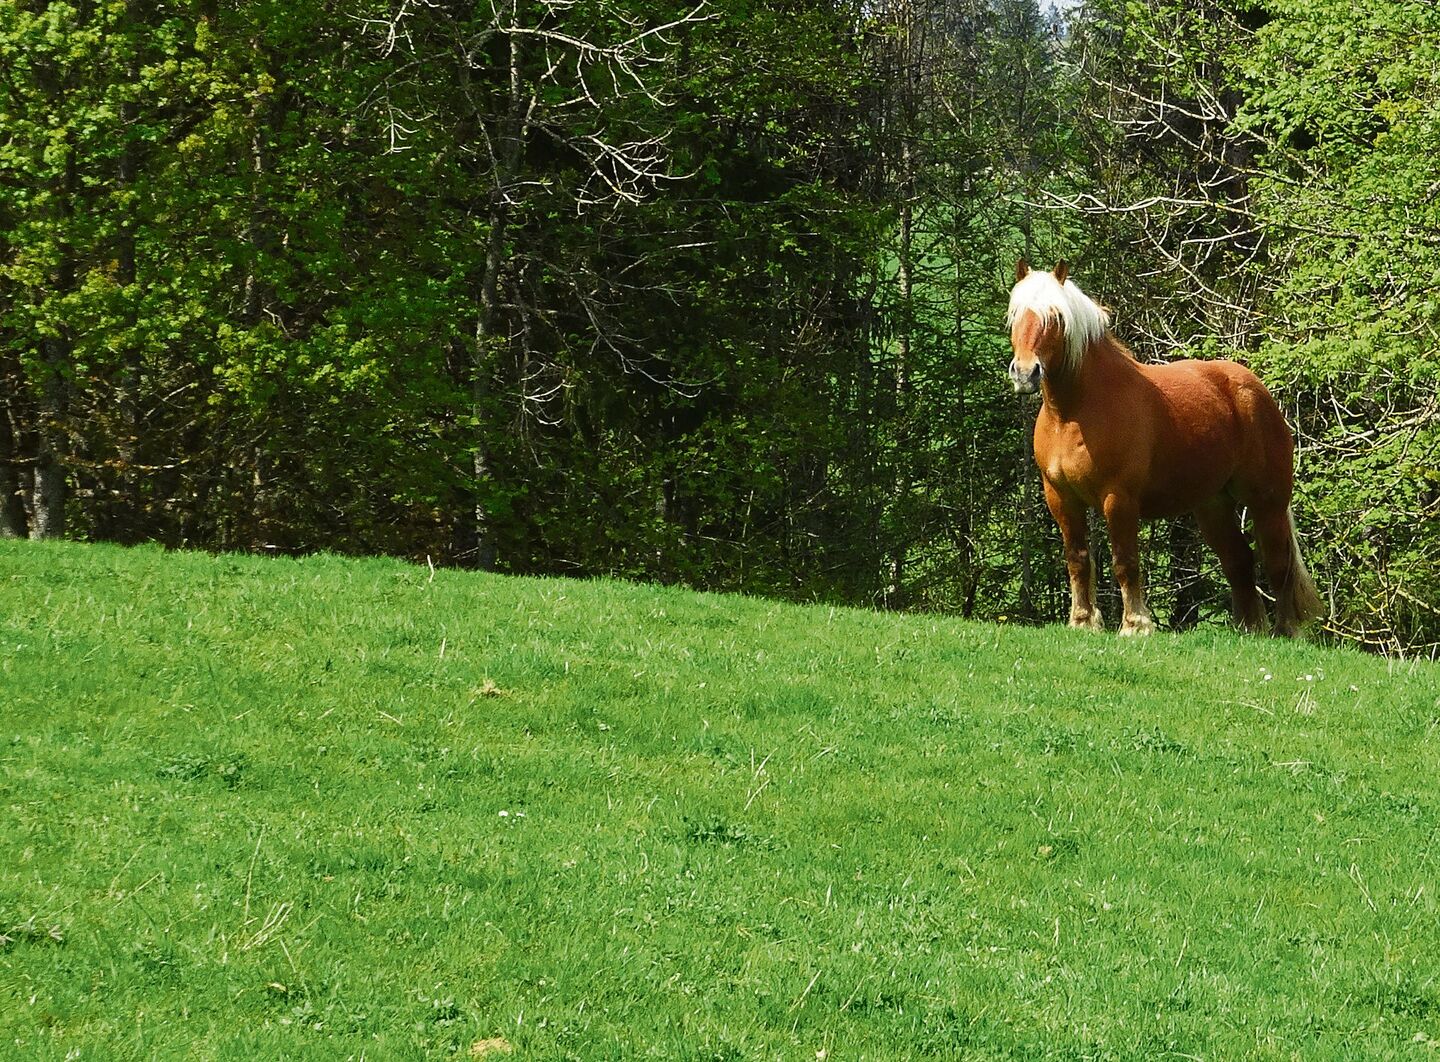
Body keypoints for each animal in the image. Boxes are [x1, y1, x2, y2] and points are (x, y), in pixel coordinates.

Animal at [1006, 259, 1325, 637]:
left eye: (1054, 317)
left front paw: (1135, 625)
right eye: (1015, 314)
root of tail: (1256, 390)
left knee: (1278, 561)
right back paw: (1249, 629)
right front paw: (1083, 622)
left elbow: (1125, 561)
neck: (1074, 412)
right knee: (1239, 560)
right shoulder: (1061, 497)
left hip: (1267, 501)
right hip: (1213, 506)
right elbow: (1078, 559)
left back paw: (1285, 630)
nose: (1025, 373)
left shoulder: (1119, 499)